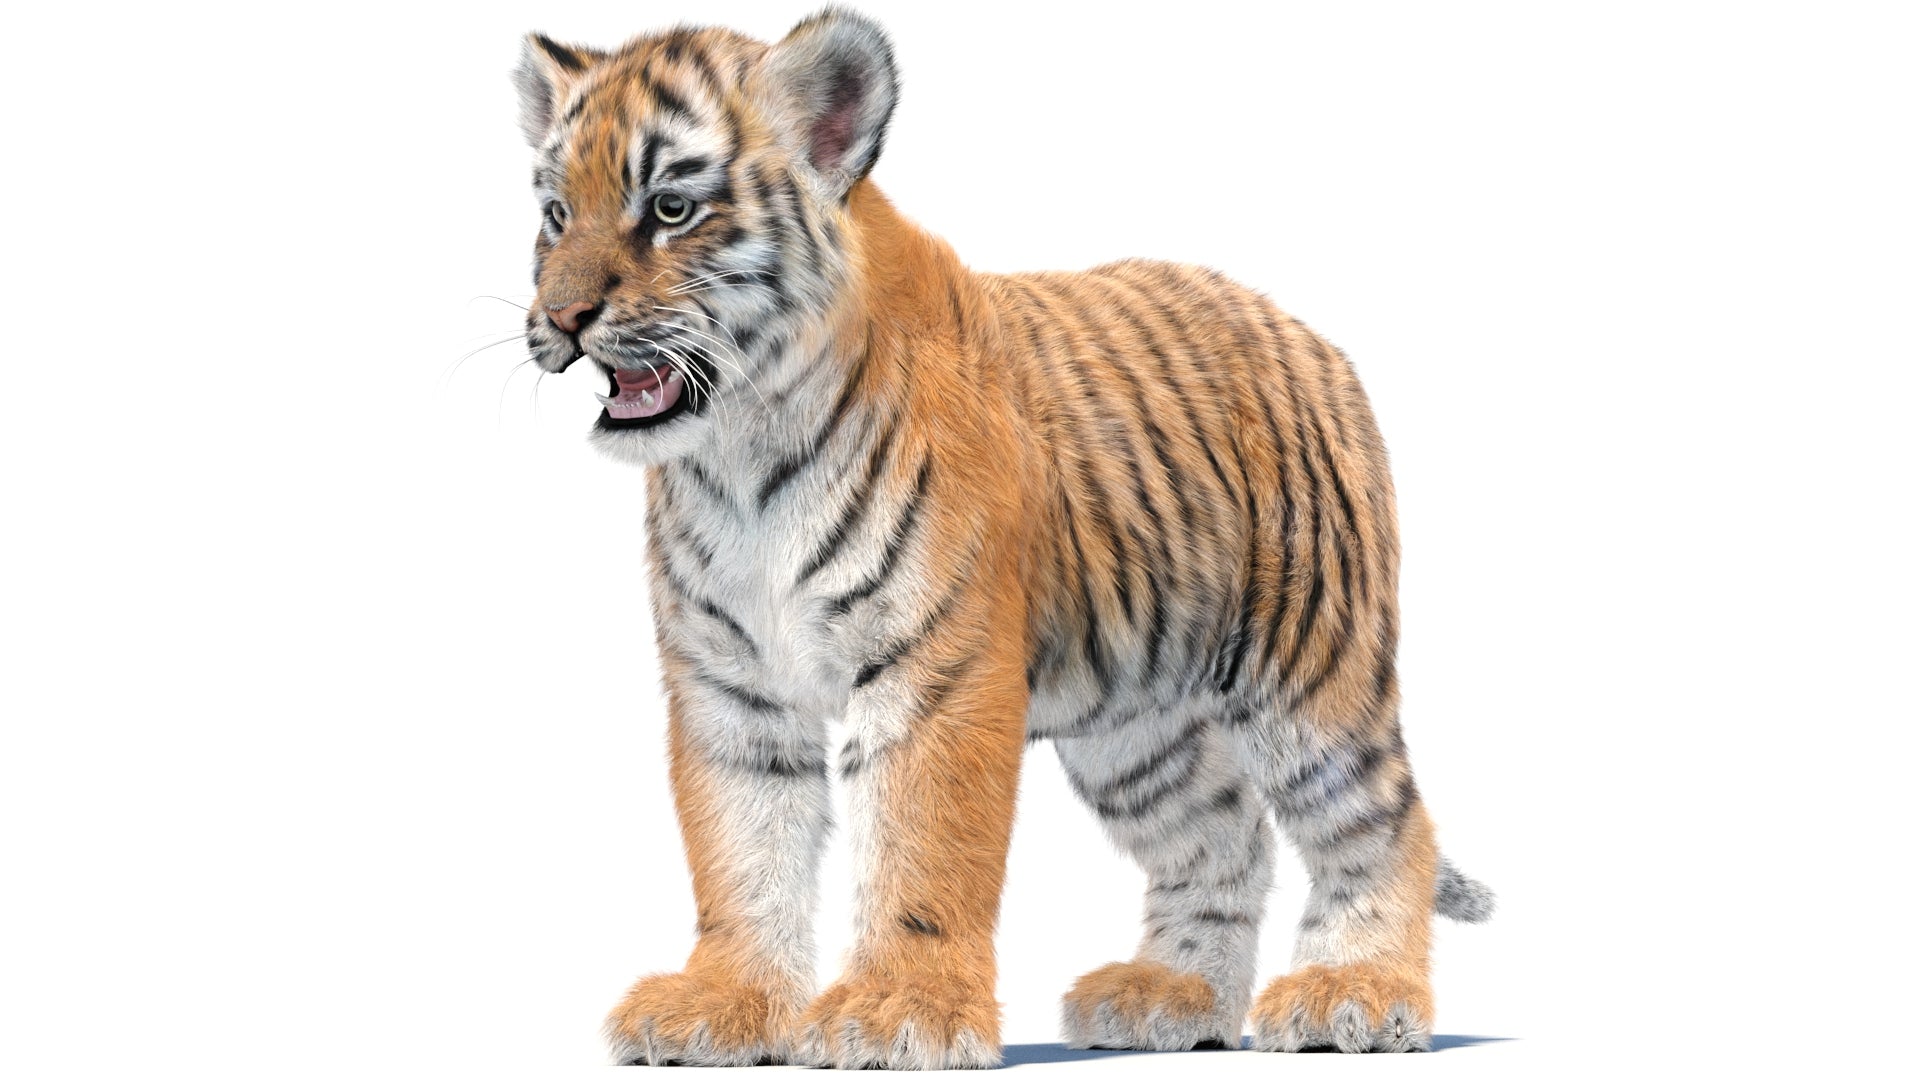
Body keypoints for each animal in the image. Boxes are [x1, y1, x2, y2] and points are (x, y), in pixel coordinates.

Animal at [508, 6, 1492, 1068]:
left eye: (671, 208)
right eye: (555, 213)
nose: (561, 317)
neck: (740, 455)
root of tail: (1301, 330)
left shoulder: (937, 667)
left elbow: (923, 846)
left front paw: (896, 1011)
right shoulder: (733, 689)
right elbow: (741, 851)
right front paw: (723, 1004)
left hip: (1308, 668)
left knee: (1382, 824)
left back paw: (1352, 994)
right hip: (1134, 728)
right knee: (1226, 835)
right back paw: (1172, 998)